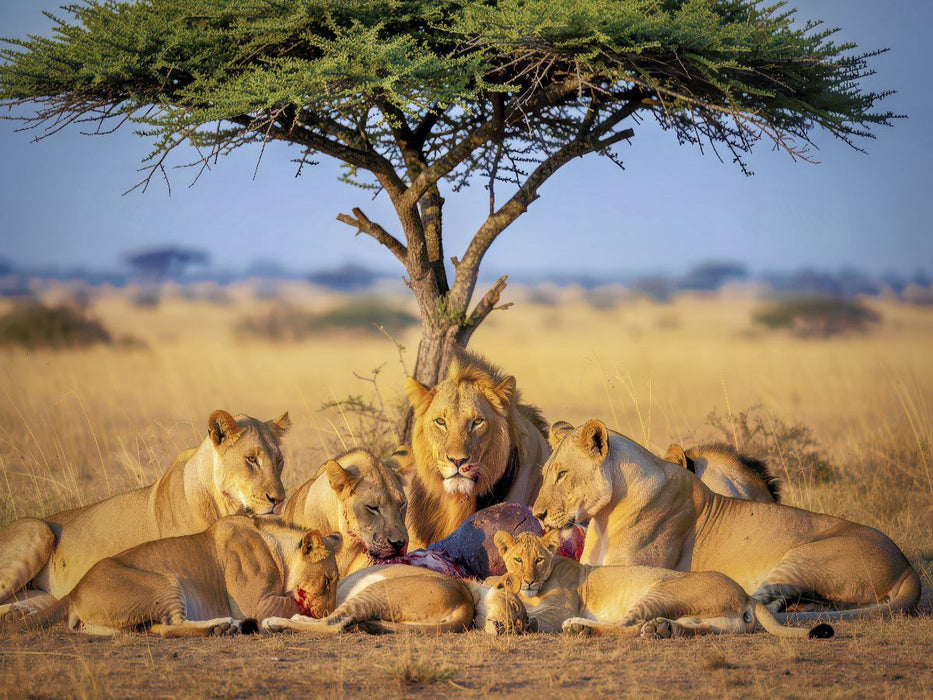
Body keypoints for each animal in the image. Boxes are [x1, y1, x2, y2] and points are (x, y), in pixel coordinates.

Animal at [0, 409, 291, 619]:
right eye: (251, 459)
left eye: (279, 461)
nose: (279, 500)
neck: (224, 505)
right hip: (38, 529)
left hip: (45, 593)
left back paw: (19, 612)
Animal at [3, 516, 340, 637]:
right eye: (328, 580)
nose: (329, 610)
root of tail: (75, 589)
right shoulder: (257, 604)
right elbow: (291, 604)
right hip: (164, 582)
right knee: (171, 626)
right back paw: (221, 626)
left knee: (158, 628)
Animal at [262, 563, 530, 636]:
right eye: (514, 606)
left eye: (519, 626)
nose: (510, 629)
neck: (470, 594)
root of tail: (464, 607)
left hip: (377, 590)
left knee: (335, 624)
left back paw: (274, 622)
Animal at [492, 530, 832, 639]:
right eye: (518, 559)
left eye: (538, 559)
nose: (529, 581)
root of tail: (747, 594)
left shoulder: (561, 607)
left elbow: (543, 617)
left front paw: (518, 622)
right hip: (719, 621)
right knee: (701, 629)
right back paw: (663, 629)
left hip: (663, 591)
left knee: (626, 627)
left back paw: (580, 628)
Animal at [534, 420, 921, 621]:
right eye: (545, 473)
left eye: (562, 474)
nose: (537, 515)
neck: (603, 518)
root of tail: (907, 567)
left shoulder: (628, 570)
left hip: (804, 559)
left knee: (763, 603)